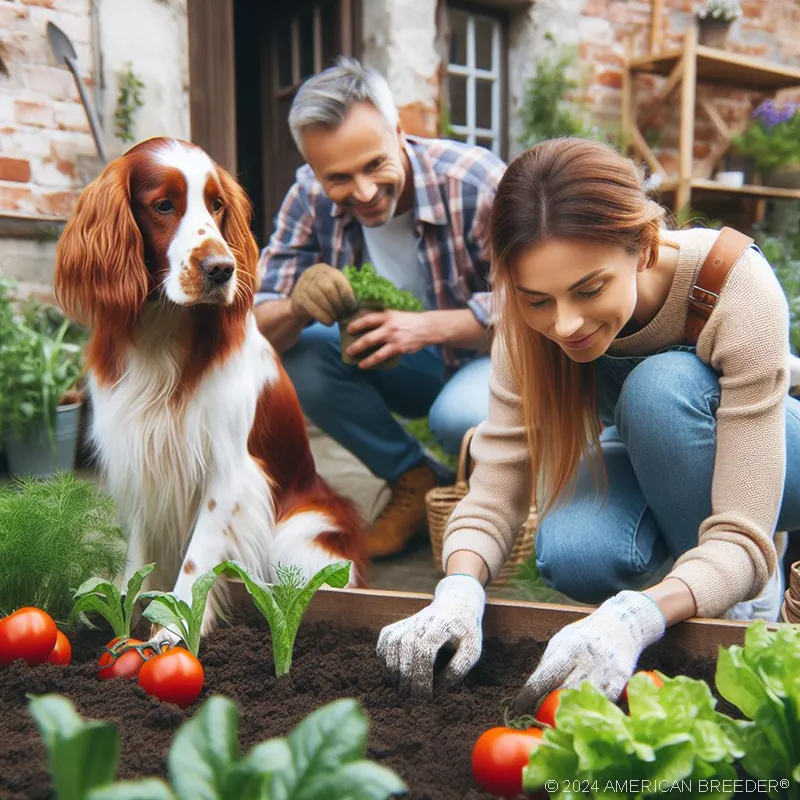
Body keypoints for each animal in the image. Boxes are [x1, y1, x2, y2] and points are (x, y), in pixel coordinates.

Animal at [54, 136, 368, 636]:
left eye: (217, 204)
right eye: (163, 204)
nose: (222, 269)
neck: (165, 333)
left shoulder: (227, 470)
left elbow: (196, 559)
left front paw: (171, 633)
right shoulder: (138, 457)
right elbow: (138, 557)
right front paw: (126, 612)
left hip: (300, 536)